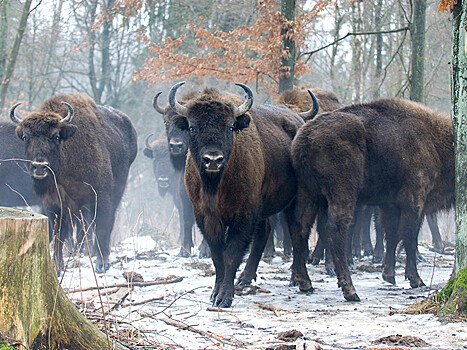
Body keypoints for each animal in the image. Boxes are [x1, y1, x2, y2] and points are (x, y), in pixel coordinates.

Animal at [9, 93, 137, 274]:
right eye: (26, 137)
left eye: (56, 136)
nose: (39, 166)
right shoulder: (54, 204)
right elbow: (58, 234)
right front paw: (57, 267)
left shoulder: (101, 196)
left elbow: (101, 227)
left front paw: (102, 264)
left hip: (116, 192)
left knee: (108, 222)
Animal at [168, 81, 314, 306]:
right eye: (192, 127)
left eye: (230, 127)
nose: (213, 159)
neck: (216, 184)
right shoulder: (206, 217)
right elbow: (217, 256)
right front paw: (215, 293)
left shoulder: (243, 215)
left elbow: (231, 254)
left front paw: (224, 297)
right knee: (267, 233)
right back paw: (246, 278)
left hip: (297, 199)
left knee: (298, 232)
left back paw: (302, 281)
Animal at [290, 96, 456, 300]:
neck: (433, 139)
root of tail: (305, 137)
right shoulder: (414, 200)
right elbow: (409, 237)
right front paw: (416, 279)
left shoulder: (391, 205)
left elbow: (392, 234)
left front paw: (389, 275)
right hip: (342, 193)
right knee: (335, 228)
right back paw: (350, 289)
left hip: (307, 192)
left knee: (300, 227)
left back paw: (305, 283)